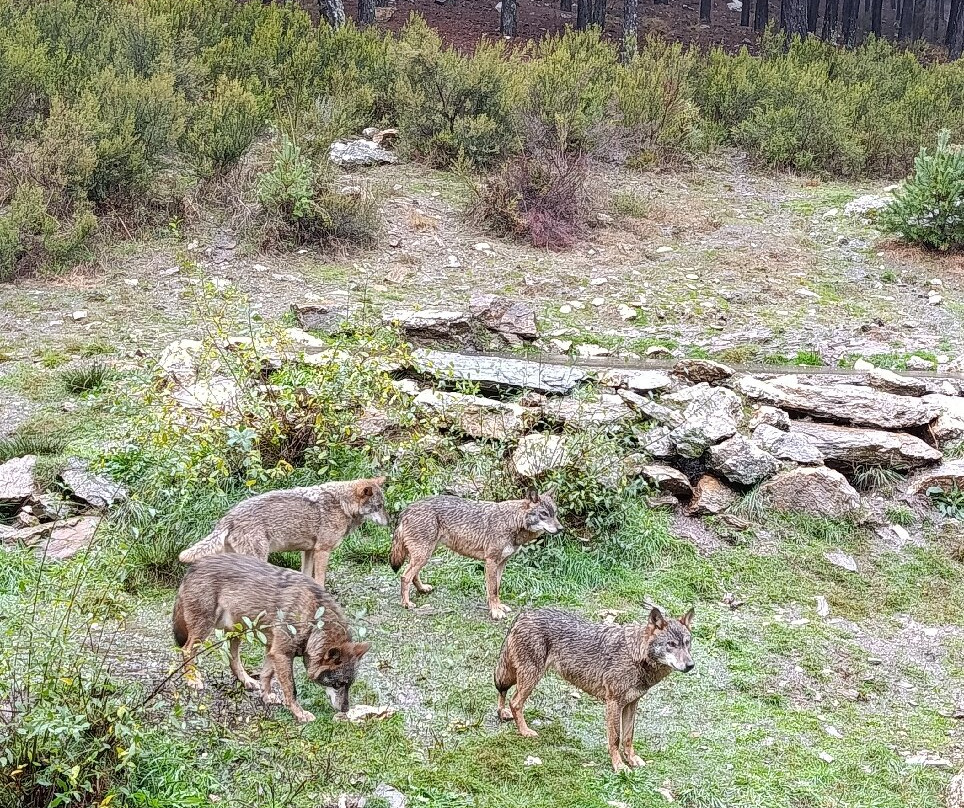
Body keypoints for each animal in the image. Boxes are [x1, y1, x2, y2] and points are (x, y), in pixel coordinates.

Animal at [172, 555, 371, 722]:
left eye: (349, 685)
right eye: (338, 684)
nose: (345, 709)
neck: (313, 617)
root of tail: (194, 566)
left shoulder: (272, 649)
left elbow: (266, 675)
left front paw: (266, 696)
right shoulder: (282, 654)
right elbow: (291, 689)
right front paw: (300, 714)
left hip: (237, 632)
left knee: (232, 659)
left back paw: (247, 681)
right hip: (204, 631)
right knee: (186, 651)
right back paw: (192, 680)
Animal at [178, 477, 388, 589]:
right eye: (378, 507)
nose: (389, 522)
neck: (342, 504)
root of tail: (227, 519)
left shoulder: (309, 551)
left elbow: (306, 575)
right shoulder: (322, 550)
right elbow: (320, 579)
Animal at [389, 490, 562, 619]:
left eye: (555, 513)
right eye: (544, 514)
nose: (561, 529)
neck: (512, 521)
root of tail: (406, 510)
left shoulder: (501, 563)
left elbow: (496, 588)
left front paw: (498, 607)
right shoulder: (491, 562)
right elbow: (493, 590)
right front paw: (495, 612)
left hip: (424, 555)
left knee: (413, 575)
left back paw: (422, 589)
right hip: (423, 555)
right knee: (405, 576)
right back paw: (406, 604)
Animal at [494, 605, 695, 771]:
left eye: (687, 643)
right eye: (671, 644)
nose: (691, 665)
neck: (635, 655)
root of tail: (524, 614)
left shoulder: (631, 704)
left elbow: (628, 737)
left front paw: (631, 759)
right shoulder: (613, 703)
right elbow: (615, 738)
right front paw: (619, 766)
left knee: (504, 694)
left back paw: (504, 715)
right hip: (531, 678)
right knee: (514, 702)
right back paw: (525, 732)